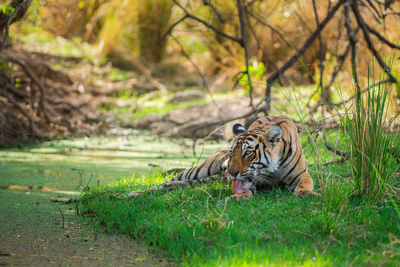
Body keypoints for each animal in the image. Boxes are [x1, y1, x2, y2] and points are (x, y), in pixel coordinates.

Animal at [128, 116, 318, 200]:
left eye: (248, 153)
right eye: (233, 153)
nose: (231, 172)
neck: (271, 170)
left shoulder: (301, 174)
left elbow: (306, 183)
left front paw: (307, 193)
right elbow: (242, 190)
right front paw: (238, 197)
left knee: (179, 184)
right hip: (201, 170)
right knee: (169, 180)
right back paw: (133, 193)